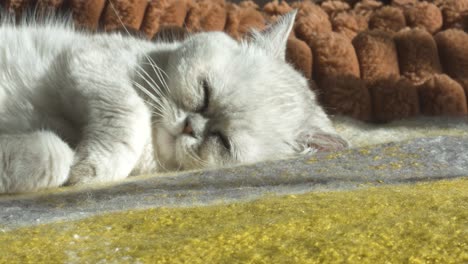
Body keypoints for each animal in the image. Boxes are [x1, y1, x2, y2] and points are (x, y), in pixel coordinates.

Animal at [0, 10, 348, 194]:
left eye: (222, 141)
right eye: (205, 93)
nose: (189, 127)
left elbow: (55, 157)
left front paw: (81, 167)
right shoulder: (88, 63)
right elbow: (132, 114)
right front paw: (89, 167)